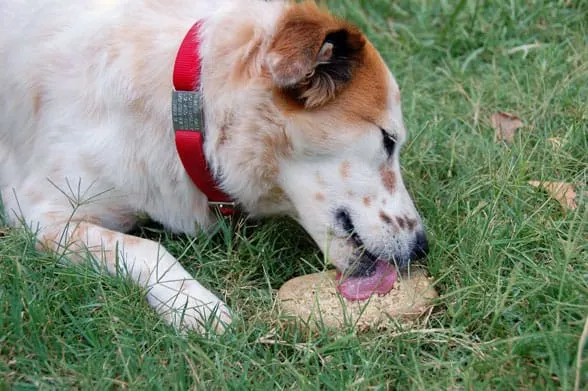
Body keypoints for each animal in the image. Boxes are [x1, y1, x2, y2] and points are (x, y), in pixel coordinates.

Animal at [0, 0, 428, 336]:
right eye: (388, 139)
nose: (422, 246)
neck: (187, 106)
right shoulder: (40, 211)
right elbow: (146, 247)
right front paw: (196, 306)